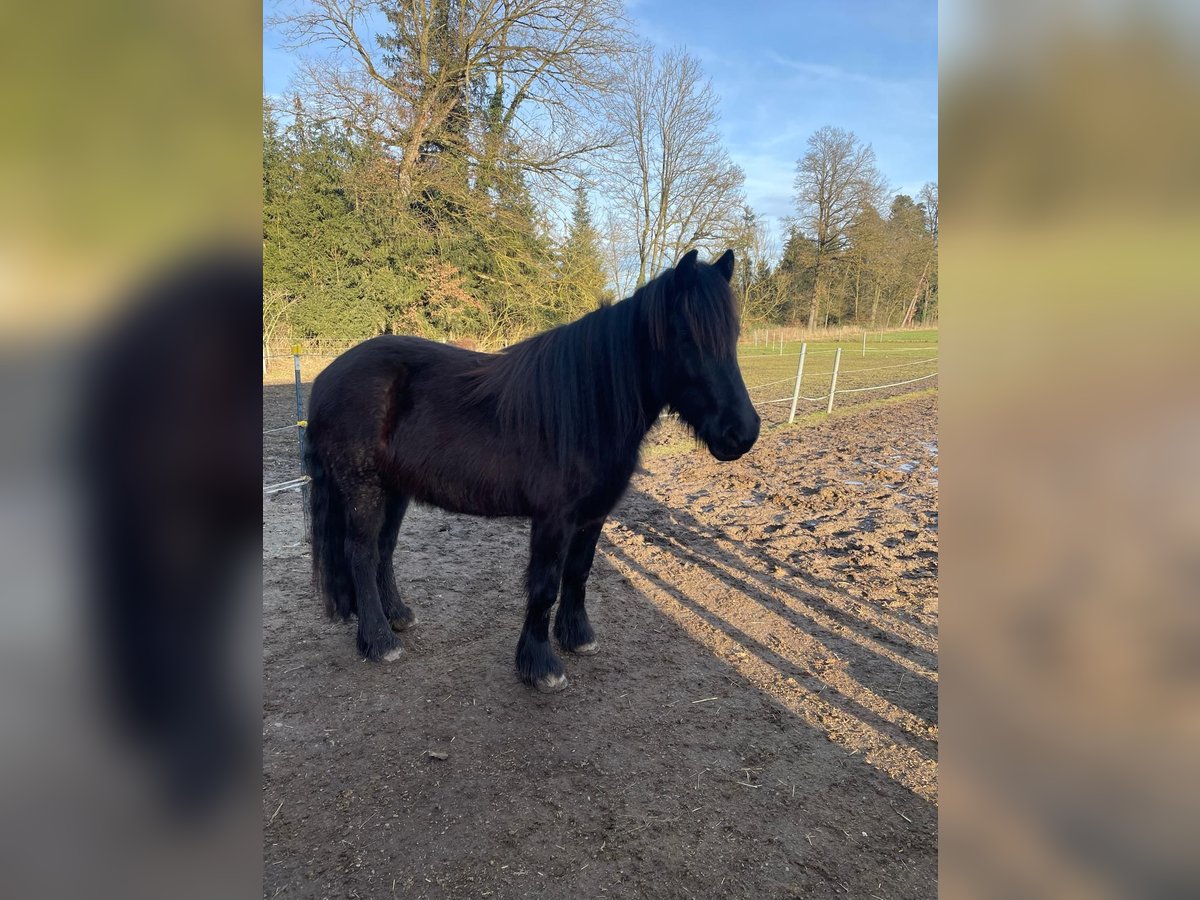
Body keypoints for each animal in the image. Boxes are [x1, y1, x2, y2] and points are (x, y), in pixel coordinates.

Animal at [309, 250, 758, 696]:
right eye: (687, 338)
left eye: (733, 337)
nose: (742, 432)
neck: (586, 408)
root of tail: (328, 376)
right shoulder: (553, 520)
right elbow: (544, 586)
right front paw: (540, 666)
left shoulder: (593, 516)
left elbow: (578, 573)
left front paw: (578, 637)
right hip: (363, 488)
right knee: (362, 554)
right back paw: (379, 641)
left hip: (394, 490)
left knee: (384, 550)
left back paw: (398, 616)